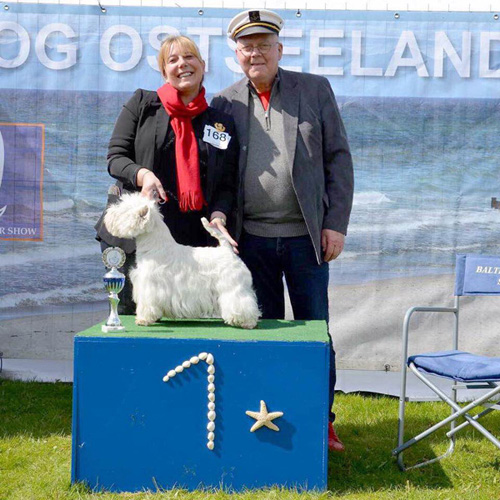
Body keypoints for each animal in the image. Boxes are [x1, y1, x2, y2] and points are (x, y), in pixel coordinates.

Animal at [105, 193, 262, 330]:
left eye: (123, 211)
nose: (108, 213)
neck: (154, 246)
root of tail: (227, 249)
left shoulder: (149, 286)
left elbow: (146, 304)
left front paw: (143, 319)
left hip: (233, 286)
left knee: (243, 303)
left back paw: (247, 322)